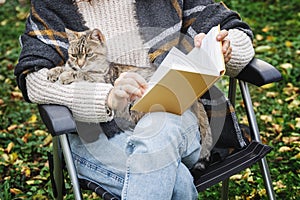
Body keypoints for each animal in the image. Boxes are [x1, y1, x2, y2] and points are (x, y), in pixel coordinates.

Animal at [47, 27, 213, 169]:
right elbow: (65, 68)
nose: (80, 64)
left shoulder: (99, 80)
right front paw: (54, 71)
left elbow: (82, 74)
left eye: (89, 54)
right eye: (74, 55)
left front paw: (67, 75)